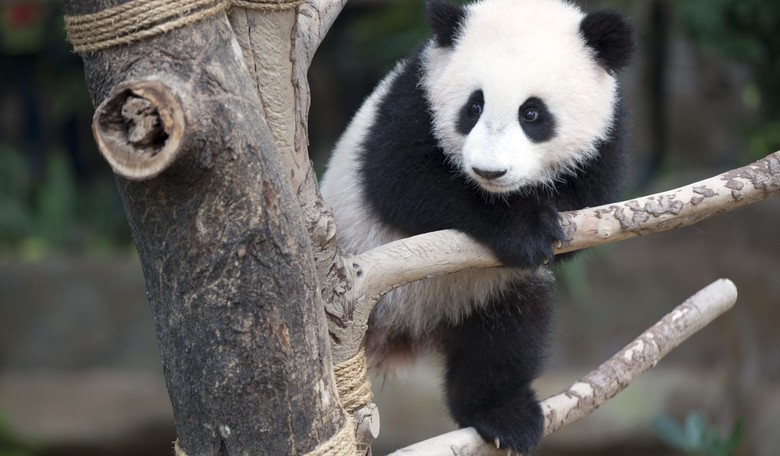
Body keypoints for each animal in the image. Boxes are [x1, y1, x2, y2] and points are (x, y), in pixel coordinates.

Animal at [320, 0, 634, 452]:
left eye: (532, 113)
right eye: (474, 106)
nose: (490, 171)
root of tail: (404, 332)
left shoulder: (606, 135)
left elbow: (589, 206)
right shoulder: (415, 97)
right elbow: (401, 178)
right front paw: (524, 229)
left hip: (488, 291)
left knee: (505, 339)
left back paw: (504, 417)